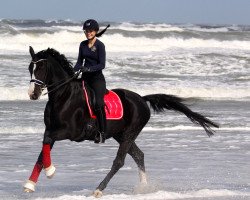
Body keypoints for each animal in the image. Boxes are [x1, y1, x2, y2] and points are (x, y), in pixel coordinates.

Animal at [23, 46, 219, 197]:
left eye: (41, 67)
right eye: (30, 68)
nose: (33, 94)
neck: (64, 96)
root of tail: (142, 99)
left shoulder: (70, 132)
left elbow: (46, 141)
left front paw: (50, 171)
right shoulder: (52, 129)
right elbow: (43, 150)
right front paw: (30, 184)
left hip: (129, 133)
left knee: (119, 161)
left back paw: (99, 190)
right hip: (121, 134)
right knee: (139, 155)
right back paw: (144, 188)